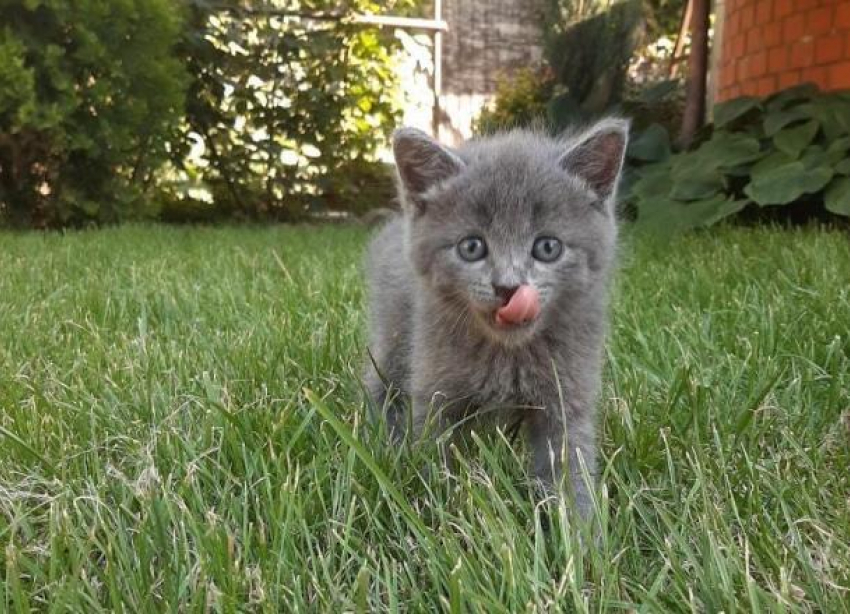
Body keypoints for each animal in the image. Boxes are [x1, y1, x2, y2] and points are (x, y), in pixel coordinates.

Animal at [362, 118, 628, 516]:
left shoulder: (567, 395)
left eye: (548, 247)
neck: (506, 356)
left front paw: (580, 530)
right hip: (393, 335)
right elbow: (433, 454)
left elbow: (570, 467)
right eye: (472, 247)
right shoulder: (435, 389)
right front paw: (436, 511)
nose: (508, 287)